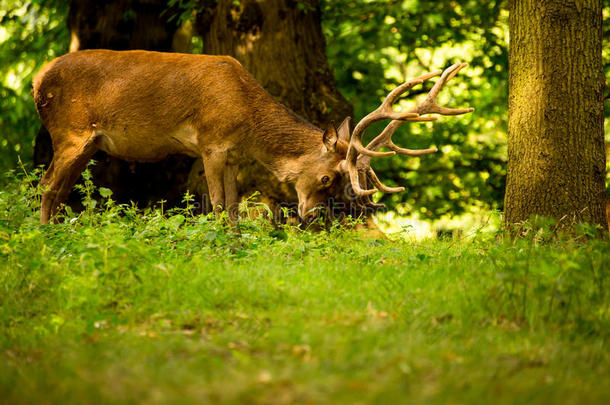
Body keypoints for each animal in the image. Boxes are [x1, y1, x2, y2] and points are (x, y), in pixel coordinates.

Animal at [30, 49, 472, 224]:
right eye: (328, 177)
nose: (311, 214)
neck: (247, 117)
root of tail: (36, 80)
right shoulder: (210, 143)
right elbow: (217, 205)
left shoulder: (232, 155)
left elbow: (233, 208)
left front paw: (236, 244)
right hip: (69, 131)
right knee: (47, 185)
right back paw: (45, 234)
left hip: (89, 144)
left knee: (61, 187)